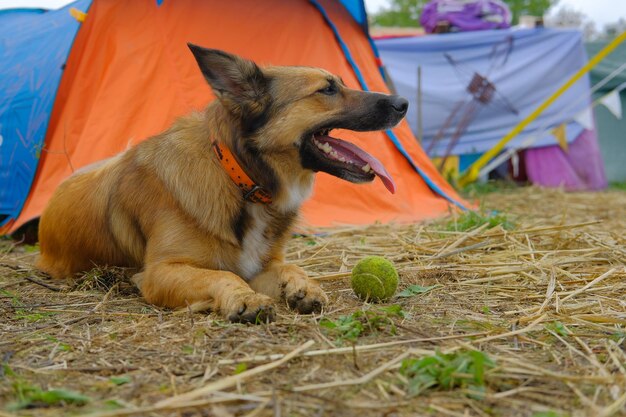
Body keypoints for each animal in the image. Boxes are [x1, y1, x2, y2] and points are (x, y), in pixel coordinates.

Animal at [36, 44, 408, 322]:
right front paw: (245, 299)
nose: (403, 103)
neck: (238, 177)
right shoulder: (158, 273)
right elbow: (221, 275)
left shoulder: (260, 264)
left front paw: (303, 286)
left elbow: (289, 265)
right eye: (327, 89)